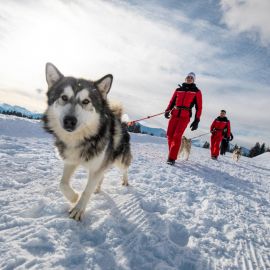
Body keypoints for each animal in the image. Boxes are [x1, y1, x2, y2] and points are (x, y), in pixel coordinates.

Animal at [42, 63, 132, 221]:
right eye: (64, 97)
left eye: (86, 101)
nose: (69, 121)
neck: (82, 139)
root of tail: (123, 123)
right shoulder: (71, 161)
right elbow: (62, 183)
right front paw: (73, 197)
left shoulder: (96, 167)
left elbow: (86, 191)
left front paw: (78, 209)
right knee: (103, 176)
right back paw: (98, 188)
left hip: (119, 160)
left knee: (125, 169)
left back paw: (125, 181)